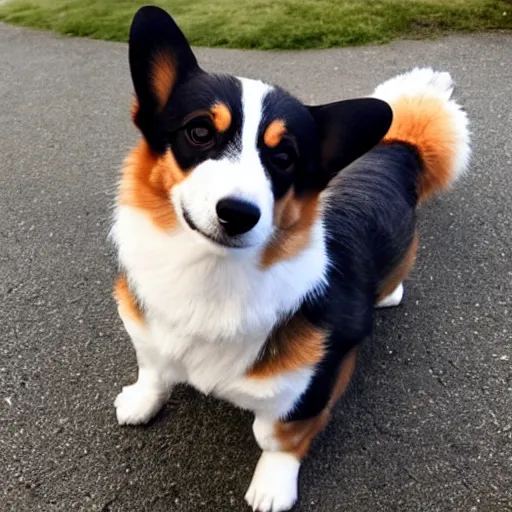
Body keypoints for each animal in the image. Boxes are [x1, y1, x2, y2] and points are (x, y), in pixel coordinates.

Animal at [110, 5, 470, 512]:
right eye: (199, 132)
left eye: (283, 157)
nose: (238, 213)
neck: (211, 274)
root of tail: (401, 148)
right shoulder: (148, 330)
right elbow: (154, 368)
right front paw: (141, 401)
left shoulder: (315, 382)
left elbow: (276, 434)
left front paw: (272, 485)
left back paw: (390, 294)